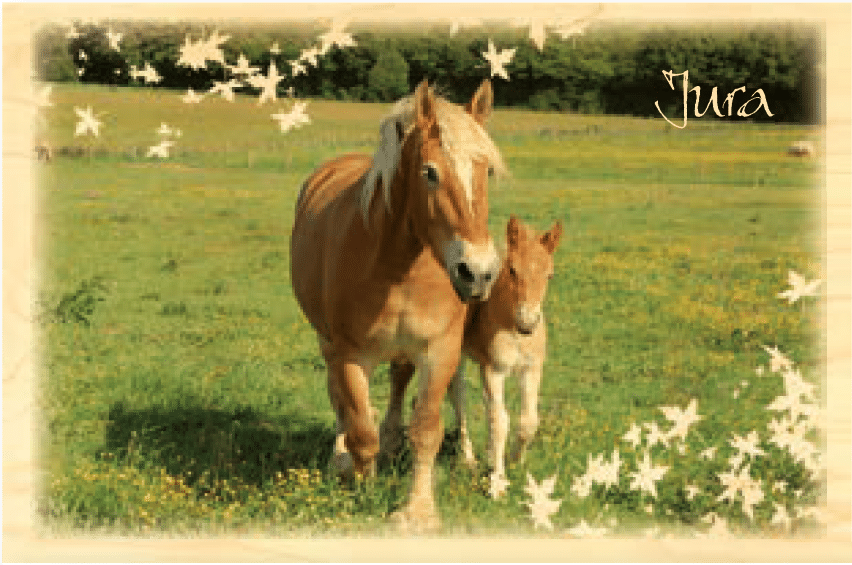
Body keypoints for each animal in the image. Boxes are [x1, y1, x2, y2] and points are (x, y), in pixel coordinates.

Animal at [290, 80, 506, 532]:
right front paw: (362, 486)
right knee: (341, 399)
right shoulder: (350, 353)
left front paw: (418, 510)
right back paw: (342, 455)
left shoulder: (439, 350)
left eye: (487, 171)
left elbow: (426, 429)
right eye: (429, 172)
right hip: (327, 342)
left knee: (398, 381)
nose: (477, 273)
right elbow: (360, 428)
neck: (398, 266)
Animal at [449, 216, 562, 497]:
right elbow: (500, 422)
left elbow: (528, 421)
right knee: (459, 398)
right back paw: (469, 459)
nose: (527, 323)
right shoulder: (493, 370)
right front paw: (498, 483)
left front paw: (514, 460)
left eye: (550, 274)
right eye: (512, 270)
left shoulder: (531, 369)